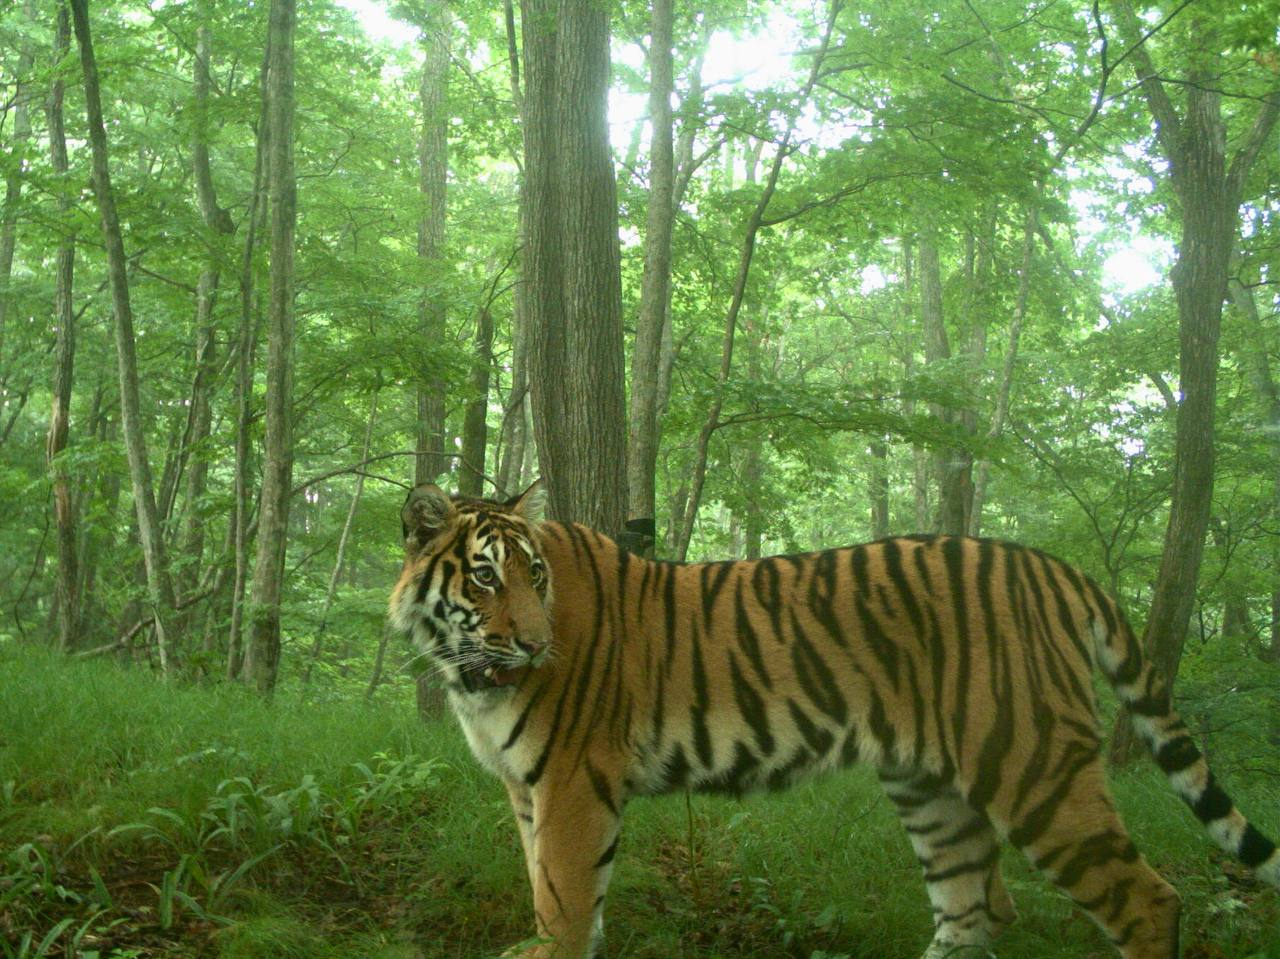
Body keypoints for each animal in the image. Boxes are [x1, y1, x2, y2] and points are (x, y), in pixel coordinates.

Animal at [389, 481, 1280, 957]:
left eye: (534, 575)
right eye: (486, 577)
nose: (538, 644)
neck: (469, 671)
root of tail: (1053, 566)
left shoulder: (574, 781)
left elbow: (566, 896)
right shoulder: (527, 786)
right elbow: (541, 878)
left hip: (1033, 766)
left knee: (1147, 900)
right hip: (930, 788)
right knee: (971, 908)